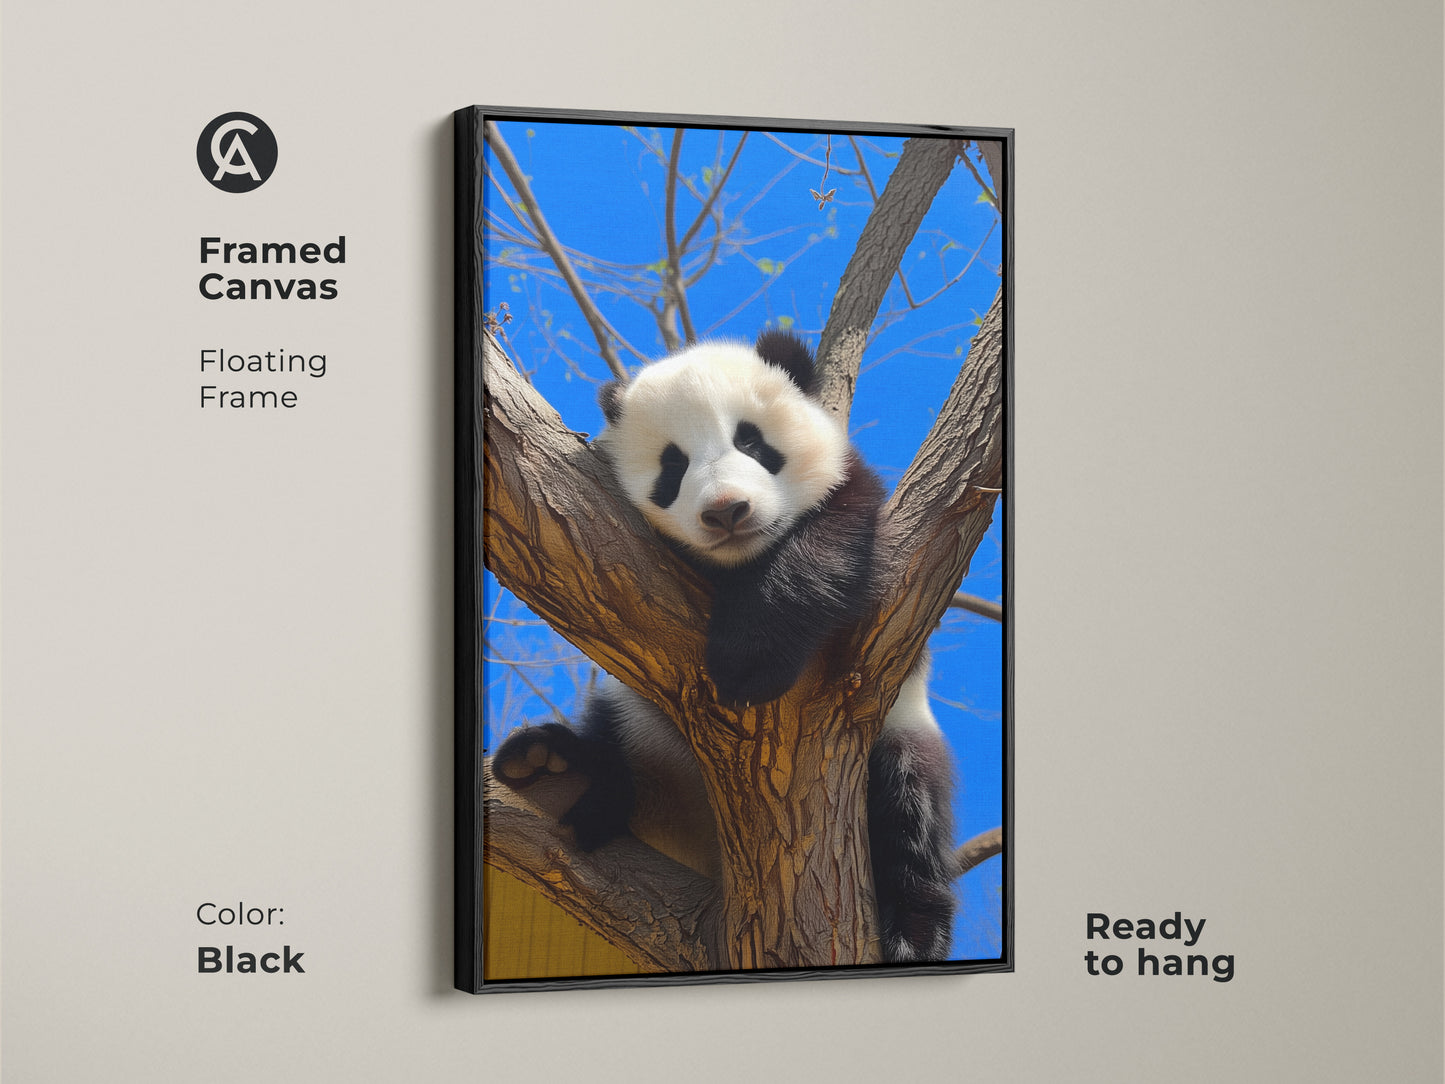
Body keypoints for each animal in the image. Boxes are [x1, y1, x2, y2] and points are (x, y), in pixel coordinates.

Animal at [493, 330, 957, 964]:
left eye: (751, 442)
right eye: (673, 465)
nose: (727, 510)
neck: (738, 563)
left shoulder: (861, 514)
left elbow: (832, 539)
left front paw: (749, 663)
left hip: (900, 730)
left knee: (909, 809)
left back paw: (914, 929)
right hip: (639, 726)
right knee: (612, 735)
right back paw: (555, 765)